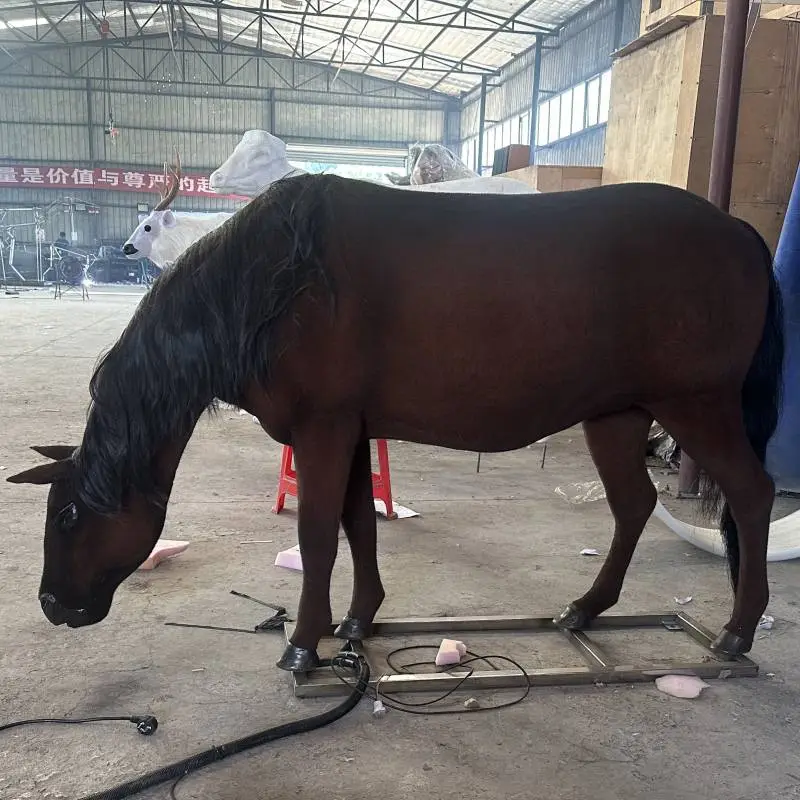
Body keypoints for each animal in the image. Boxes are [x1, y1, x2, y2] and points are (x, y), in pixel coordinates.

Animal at [7, 172, 783, 673]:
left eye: (70, 515)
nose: (52, 603)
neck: (270, 282)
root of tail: (739, 231)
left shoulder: (323, 429)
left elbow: (319, 534)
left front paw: (305, 642)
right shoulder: (349, 430)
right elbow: (359, 523)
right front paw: (357, 618)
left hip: (698, 404)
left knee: (752, 495)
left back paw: (736, 634)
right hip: (618, 415)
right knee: (634, 505)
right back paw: (587, 609)